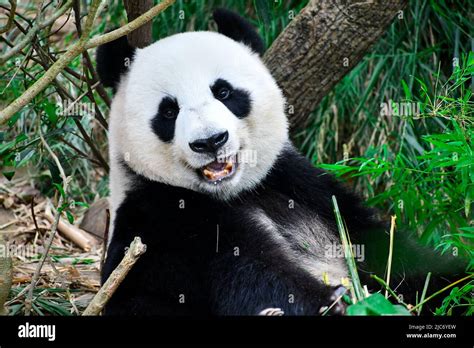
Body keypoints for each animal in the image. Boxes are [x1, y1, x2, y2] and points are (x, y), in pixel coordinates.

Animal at [96, 9, 462, 316]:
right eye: (169, 111)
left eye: (224, 92)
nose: (211, 141)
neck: (233, 192)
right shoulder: (163, 215)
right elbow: (251, 272)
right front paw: (330, 303)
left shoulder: (296, 180)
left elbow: (386, 251)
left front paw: (452, 284)